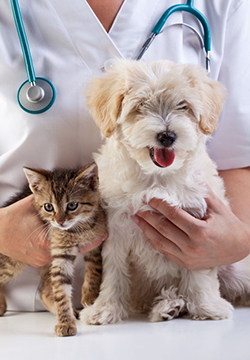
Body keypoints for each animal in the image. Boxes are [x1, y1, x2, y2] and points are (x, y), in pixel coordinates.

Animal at [0, 162, 106, 336]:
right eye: (48, 207)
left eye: (72, 205)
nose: (59, 221)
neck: (77, 231)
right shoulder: (60, 254)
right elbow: (61, 291)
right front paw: (65, 322)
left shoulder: (96, 243)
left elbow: (95, 269)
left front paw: (90, 296)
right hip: (12, 262)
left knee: (43, 292)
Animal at [81, 60, 250, 324]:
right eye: (140, 106)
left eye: (184, 106)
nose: (167, 136)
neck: (157, 178)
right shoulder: (117, 228)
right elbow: (114, 272)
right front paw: (105, 308)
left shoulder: (197, 229)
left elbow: (199, 269)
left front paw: (205, 307)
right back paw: (169, 306)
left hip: (237, 266)